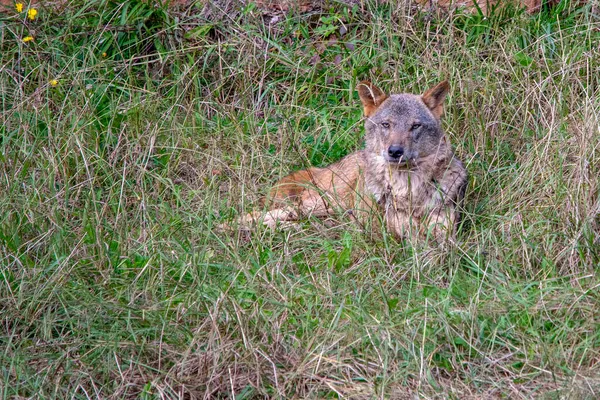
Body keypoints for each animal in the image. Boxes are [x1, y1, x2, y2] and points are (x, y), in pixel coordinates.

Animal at [239, 79, 468, 239]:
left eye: (415, 126)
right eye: (386, 125)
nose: (395, 151)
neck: (409, 191)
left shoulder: (444, 232)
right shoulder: (395, 231)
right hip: (320, 205)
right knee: (253, 216)